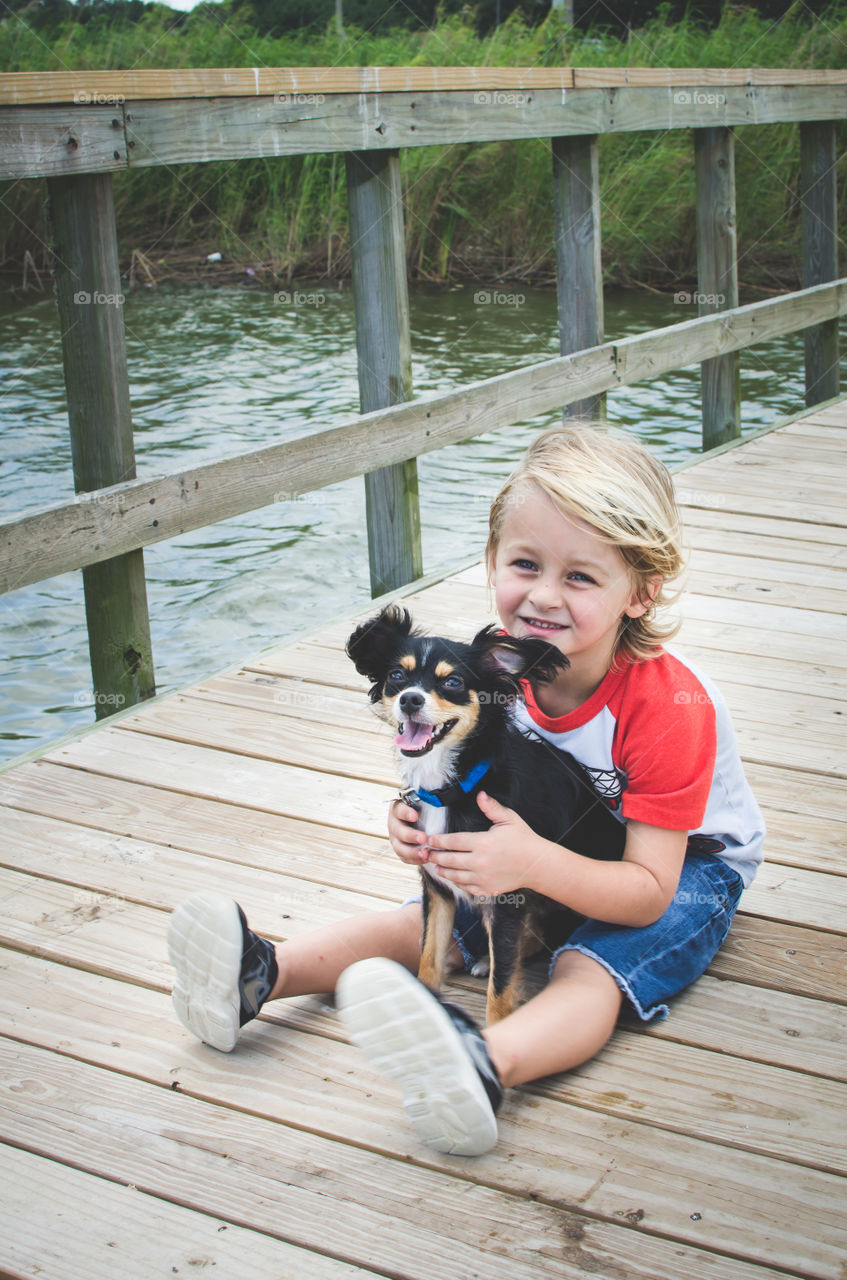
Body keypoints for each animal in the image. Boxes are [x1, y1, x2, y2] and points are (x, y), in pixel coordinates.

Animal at [348, 604, 626, 1024]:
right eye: (397, 675)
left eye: (452, 682)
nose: (410, 699)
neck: (453, 787)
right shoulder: (437, 889)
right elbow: (428, 959)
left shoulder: (507, 895)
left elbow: (501, 987)